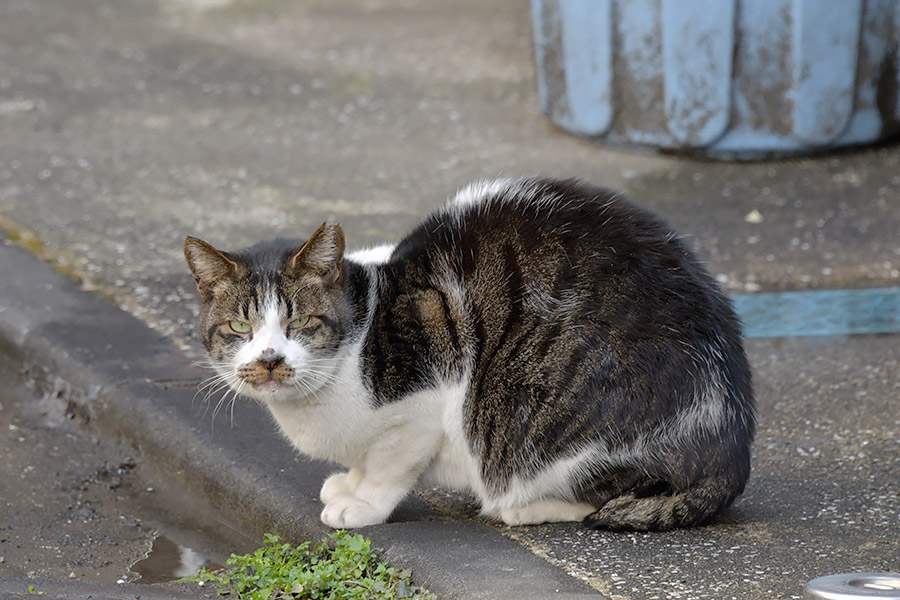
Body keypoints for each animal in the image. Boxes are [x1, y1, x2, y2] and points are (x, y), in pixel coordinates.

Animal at [186, 177, 756, 528]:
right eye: (240, 326)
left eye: (299, 322)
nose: (270, 360)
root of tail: (733, 443)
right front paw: (349, 482)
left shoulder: (425, 394)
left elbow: (391, 466)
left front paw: (363, 504)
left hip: (561, 428)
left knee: (607, 494)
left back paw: (525, 507)